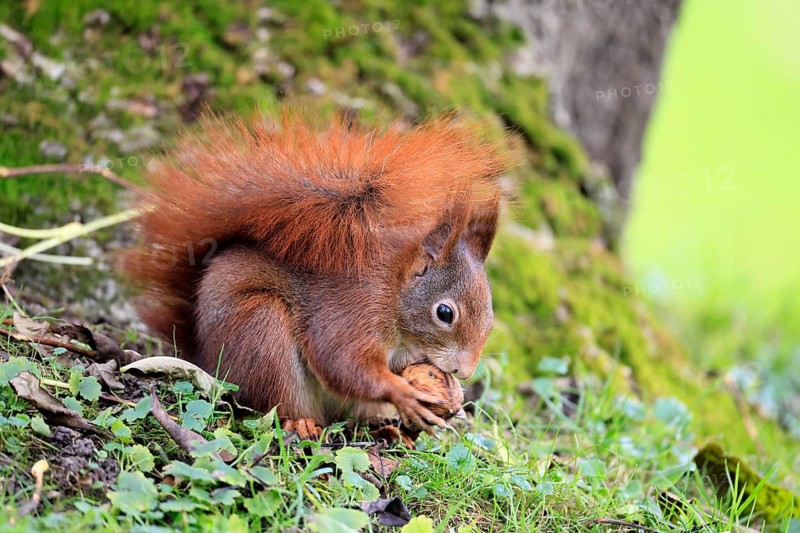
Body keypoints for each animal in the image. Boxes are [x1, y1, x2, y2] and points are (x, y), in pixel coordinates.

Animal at [123, 112, 508, 435]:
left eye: (490, 320)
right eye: (445, 313)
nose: (464, 372)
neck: (395, 289)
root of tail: (201, 353)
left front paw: (454, 395)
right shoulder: (353, 307)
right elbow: (340, 361)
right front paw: (403, 394)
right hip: (260, 329)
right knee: (278, 399)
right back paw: (302, 422)